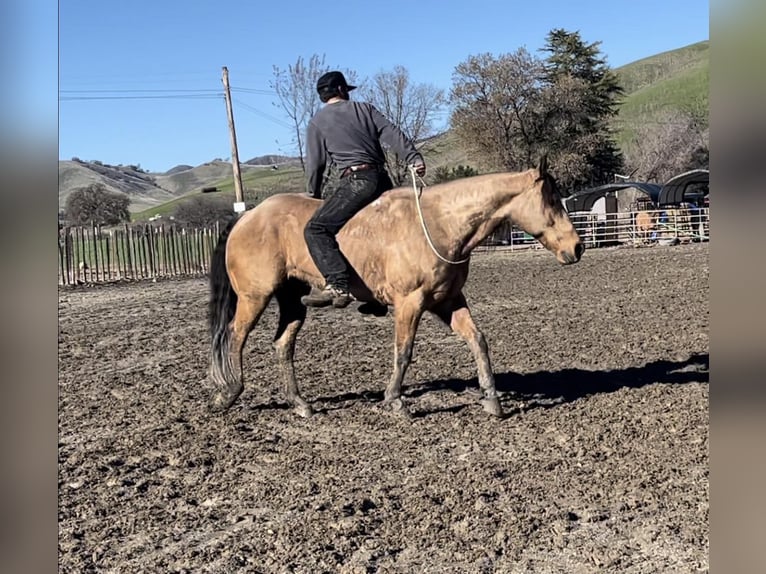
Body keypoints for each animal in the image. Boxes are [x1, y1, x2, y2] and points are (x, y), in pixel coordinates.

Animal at [207, 155, 584, 420]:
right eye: (552, 200)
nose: (577, 247)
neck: (439, 223)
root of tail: (247, 216)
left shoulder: (448, 301)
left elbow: (478, 340)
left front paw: (491, 398)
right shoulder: (410, 303)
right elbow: (403, 352)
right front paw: (395, 401)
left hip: (293, 301)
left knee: (283, 345)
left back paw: (300, 403)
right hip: (254, 297)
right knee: (235, 336)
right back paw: (229, 392)